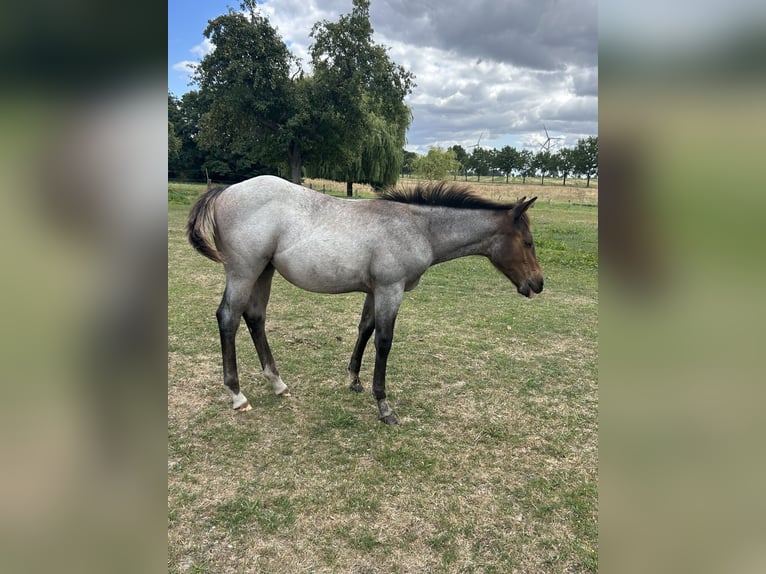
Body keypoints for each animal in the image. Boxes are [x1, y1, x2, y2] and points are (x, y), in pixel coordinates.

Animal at [187, 175, 543, 425]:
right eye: (528, 241)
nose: (538, 283)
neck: (418, 227)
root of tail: (225, 191)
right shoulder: (390, 289)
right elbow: (383, 341)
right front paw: (383, 406)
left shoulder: (374, 291)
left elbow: (365, 329)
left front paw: (354, 380)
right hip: (243, 272)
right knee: (229, 317)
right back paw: (237, 395)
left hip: (264, 271)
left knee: (255, 317)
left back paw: (278, 384)